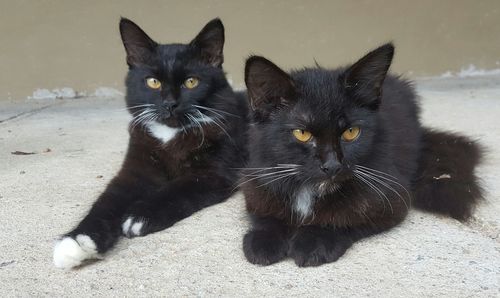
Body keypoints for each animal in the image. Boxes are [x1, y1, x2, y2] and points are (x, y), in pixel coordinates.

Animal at [53, 18, 247, 270]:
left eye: (191, 82)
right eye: (153, 82)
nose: (170, 103)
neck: (170, 134)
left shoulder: (212, 172)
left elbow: (175, 189)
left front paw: (139, 215)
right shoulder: (134, 170)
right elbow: (106, 202)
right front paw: (77, 242)